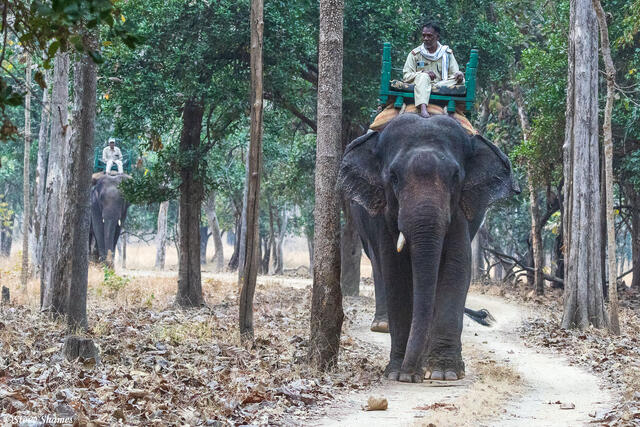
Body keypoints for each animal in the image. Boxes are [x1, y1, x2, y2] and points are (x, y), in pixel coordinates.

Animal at [338, 114, 519, 383]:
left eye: (455, 176)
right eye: (393, 177)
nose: (410, 375)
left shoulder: (460, 210)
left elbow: (456, 267)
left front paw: (444, 373)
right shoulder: (383, 214)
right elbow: (396, 272)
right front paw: (397, 373)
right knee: (379, 265)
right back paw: (384, 329)